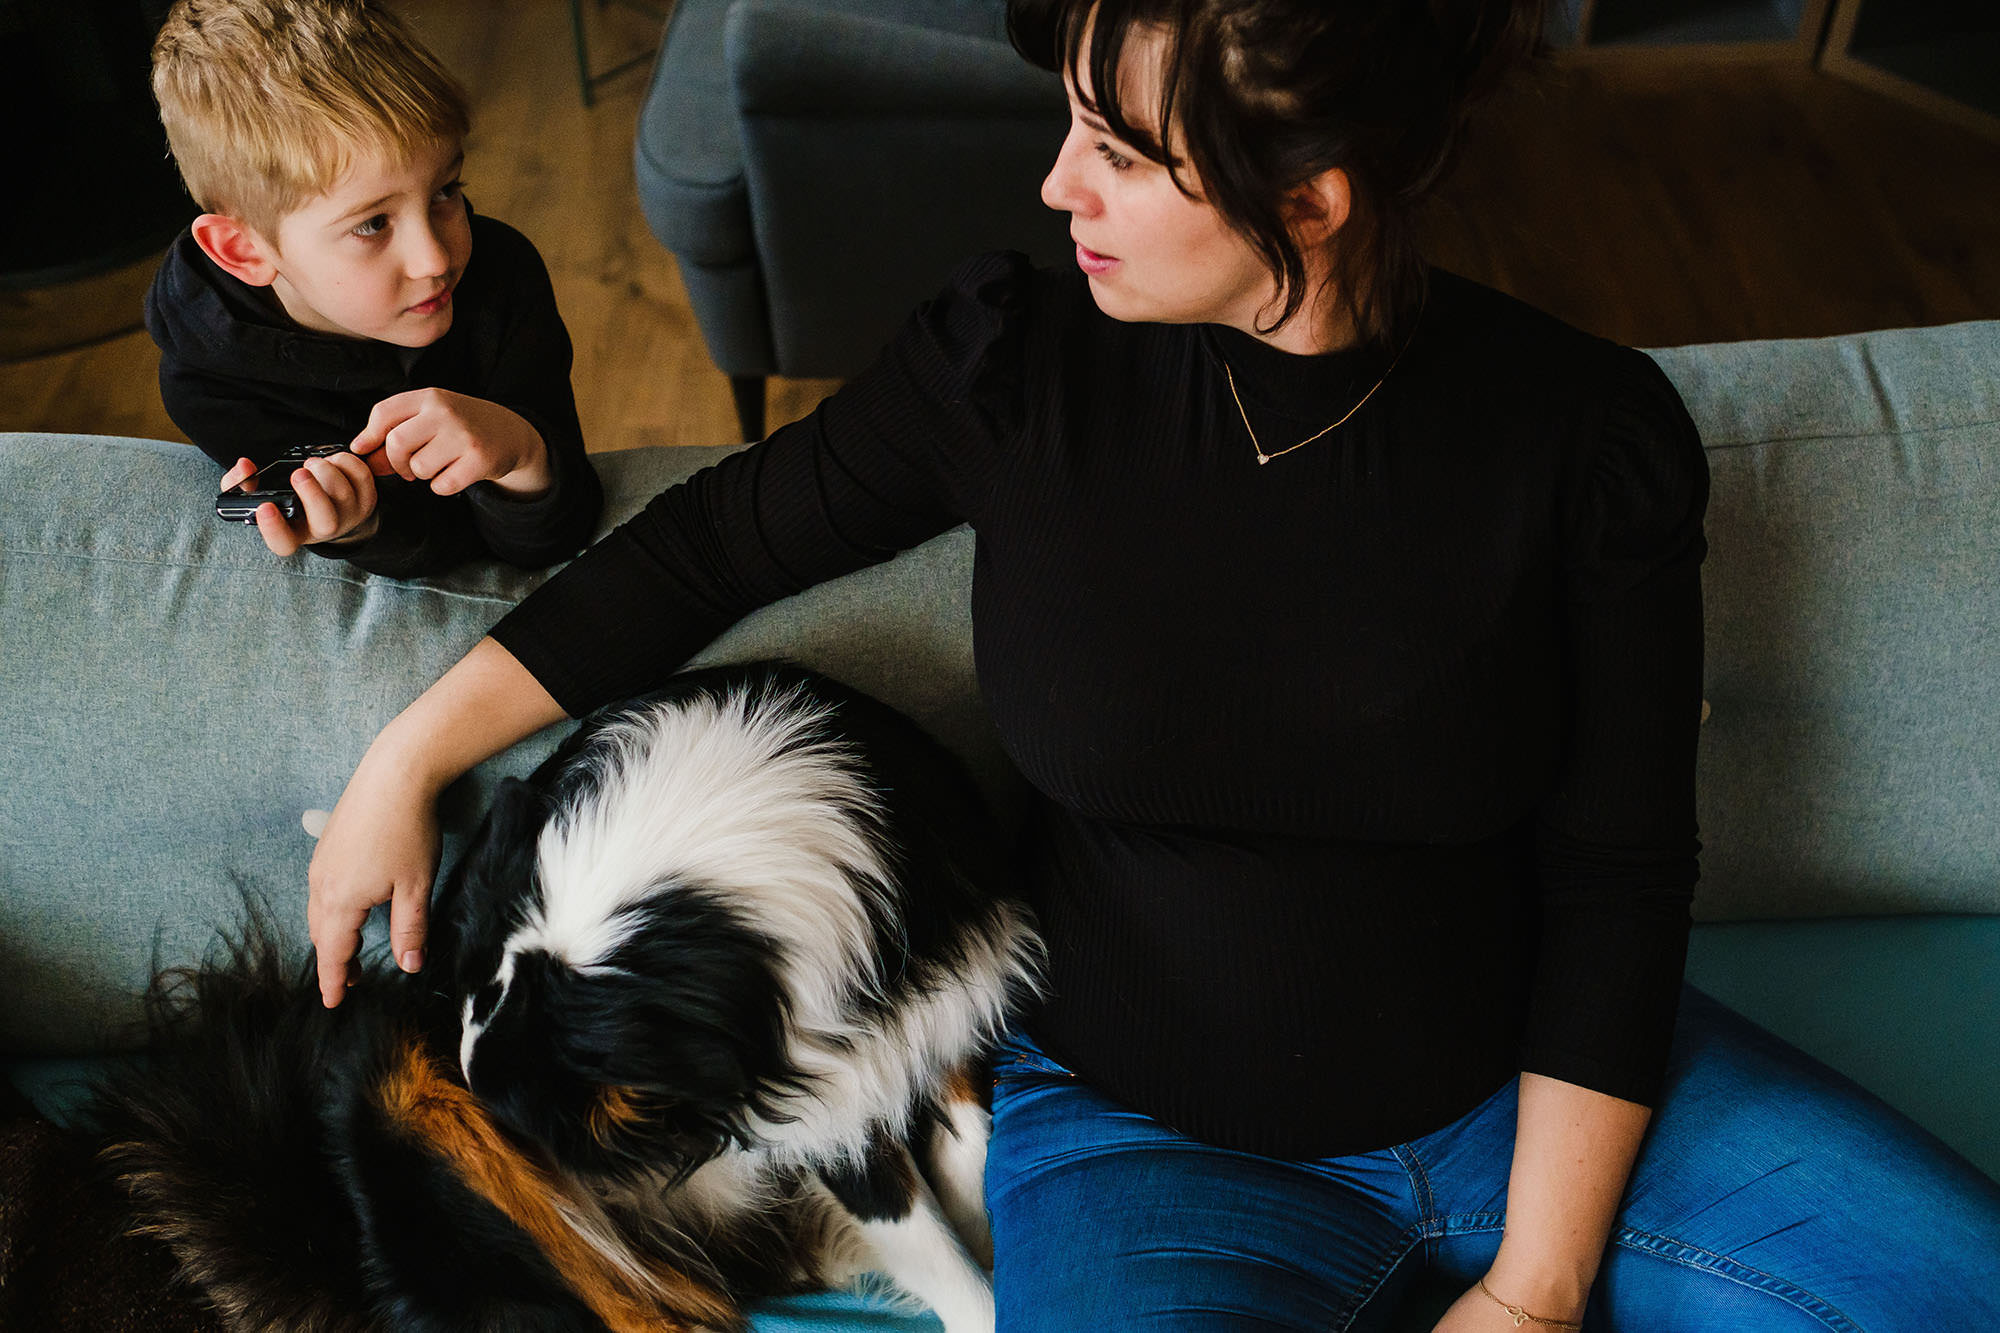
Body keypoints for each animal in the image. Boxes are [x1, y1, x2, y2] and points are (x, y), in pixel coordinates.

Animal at [88, 660, 1040, 1328]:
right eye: (543, 1127)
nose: (575, 1161)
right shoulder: (816, 1109)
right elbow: (954, 1268)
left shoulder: (941, 999)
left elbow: (975, 1152)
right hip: (416, 1118)